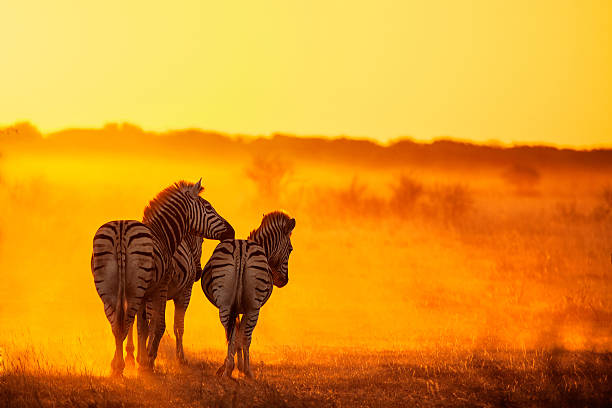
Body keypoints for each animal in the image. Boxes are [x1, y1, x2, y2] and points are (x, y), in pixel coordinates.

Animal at [125, 234, 206, 364]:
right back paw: (146, 355)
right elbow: (179, 326)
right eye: (202, 241)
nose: (198, 274)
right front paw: (181, 357)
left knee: (133, 319)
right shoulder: (185, 293)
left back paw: (133, 355)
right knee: (151, 323)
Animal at [202, 210, 296, 380]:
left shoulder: (236, 308)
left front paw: (229, 366)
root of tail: (241, 249)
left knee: (230, 334)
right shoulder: (245, 308)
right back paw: (247, 372)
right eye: (291, 249)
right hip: (254, 307)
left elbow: (235, 336)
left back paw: (228, 371)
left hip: (225, 305)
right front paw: (238, 367)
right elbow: (241, 337)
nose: (283, 281)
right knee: (246, 337)